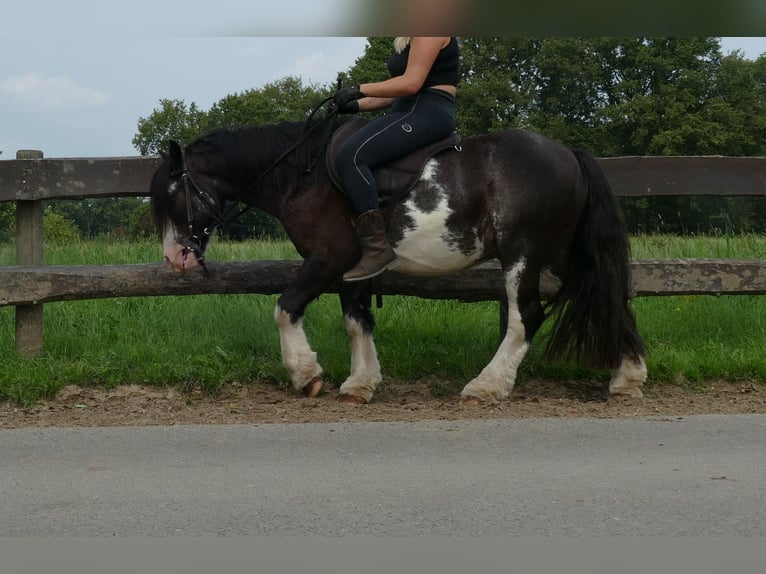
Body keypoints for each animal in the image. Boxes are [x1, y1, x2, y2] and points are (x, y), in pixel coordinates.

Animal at [150, 115, 648, 408]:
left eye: (172, 193)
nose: (175, 257)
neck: (302, 175)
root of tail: (570, 155)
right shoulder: (354, 267)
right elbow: (357, 321)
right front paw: (360, 383)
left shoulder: (329, 258)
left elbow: (285, 308)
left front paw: (306, 374)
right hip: (565, 254)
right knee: (611, 299)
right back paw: (627, 377)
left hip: (523, 254)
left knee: (525, 316)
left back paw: (487, 386)